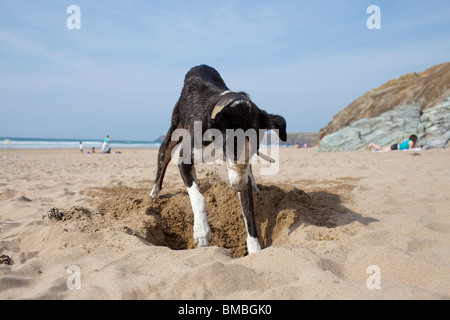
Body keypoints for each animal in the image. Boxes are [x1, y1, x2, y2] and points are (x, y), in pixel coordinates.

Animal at [149, 65, 286, 255]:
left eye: (252, 152)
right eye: (232, 148)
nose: (238, 186)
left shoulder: (241, 172)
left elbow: (249, 212)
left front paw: (255, 248)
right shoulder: (185, 160)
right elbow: (199, 198)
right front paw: (202, 232)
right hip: (174, 129)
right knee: (163, 157)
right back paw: (154, 192)